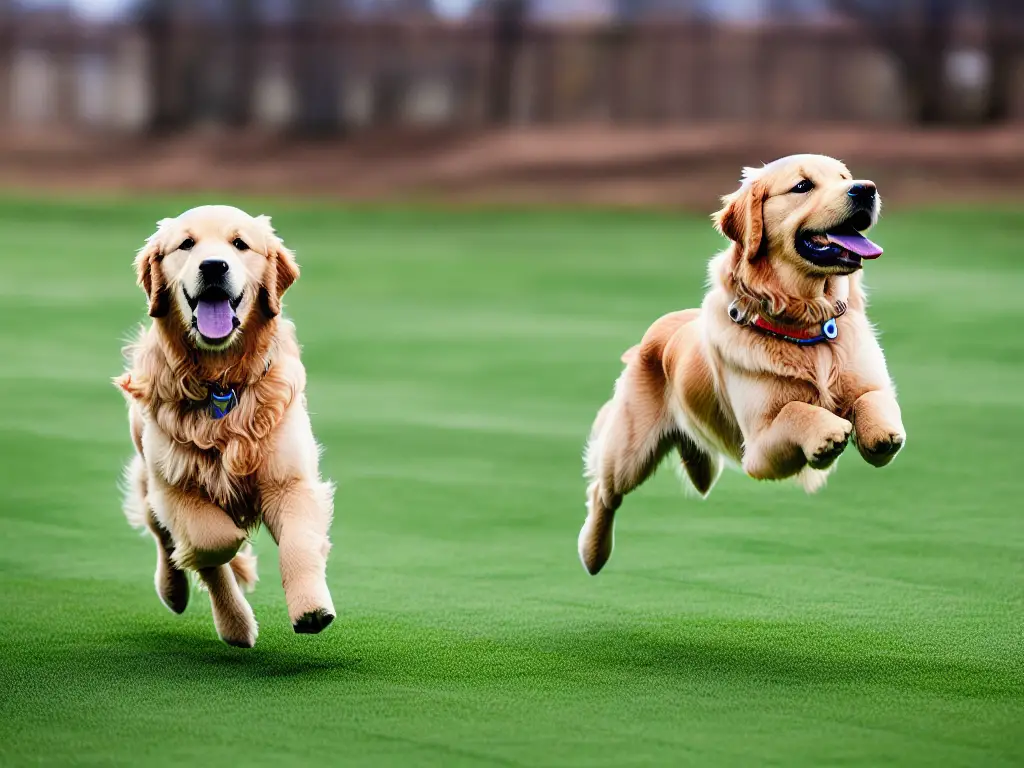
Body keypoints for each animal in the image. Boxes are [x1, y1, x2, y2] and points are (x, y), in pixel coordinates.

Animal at [116, 205, 333, 651]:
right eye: (186, 243)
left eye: (239, 243)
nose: (214, 266)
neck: (221, 381)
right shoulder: (175, 487)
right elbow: (215, 541)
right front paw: (233, 561)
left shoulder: (290, 479)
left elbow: (299, 544)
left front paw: (311, 608)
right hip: (149, 475)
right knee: (167, 538)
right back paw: (195, 600)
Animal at [581, 156, 909, 573]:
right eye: (802, 186)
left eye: (845, 178)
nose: (866, 189)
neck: (806, 323)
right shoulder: (759, 451)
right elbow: (797, 410)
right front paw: (827, 433)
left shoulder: (868, 382)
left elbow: (873, 399)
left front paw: (880, 433)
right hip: (628, 454)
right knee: (603, 492)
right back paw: (593, 553)